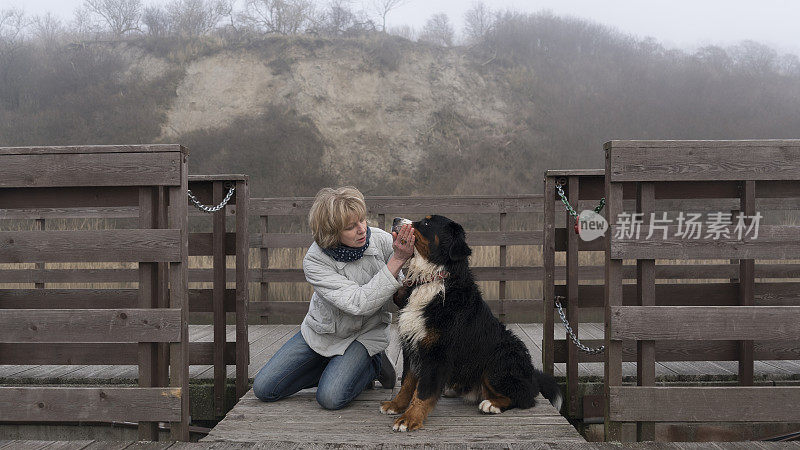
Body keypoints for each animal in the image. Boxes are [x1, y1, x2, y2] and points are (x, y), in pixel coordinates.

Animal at [382, 214, 564, 432]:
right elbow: (408, 382)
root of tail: (530, 374)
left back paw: (492, 404)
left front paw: (409, 419)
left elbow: (423, 391)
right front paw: (396, 405)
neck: (431, 281)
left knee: (525, 396)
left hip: (499, 360)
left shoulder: (437, 351)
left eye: (426, 223)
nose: (395, 219)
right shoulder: (412, 344)